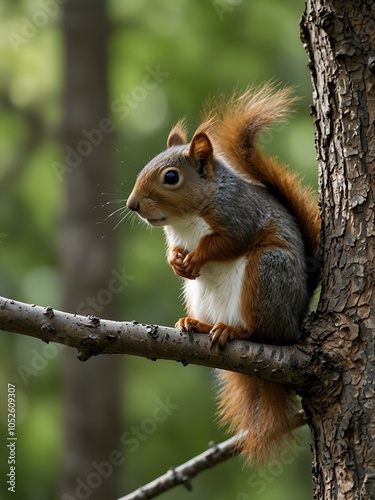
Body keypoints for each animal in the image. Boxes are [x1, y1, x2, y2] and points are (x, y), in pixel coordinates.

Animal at [126, 83, 320, 464]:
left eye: (171, 177)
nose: (132, 205)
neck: (186, 221)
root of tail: (294, 325)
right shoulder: (176, 238)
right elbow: (173, 252)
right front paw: (176, 262)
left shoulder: (237, 218)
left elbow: (226, 244)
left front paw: (197, 258)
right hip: (200, 296)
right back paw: (197, 324)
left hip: (266, 273)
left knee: (262, 333)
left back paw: (233, 330)